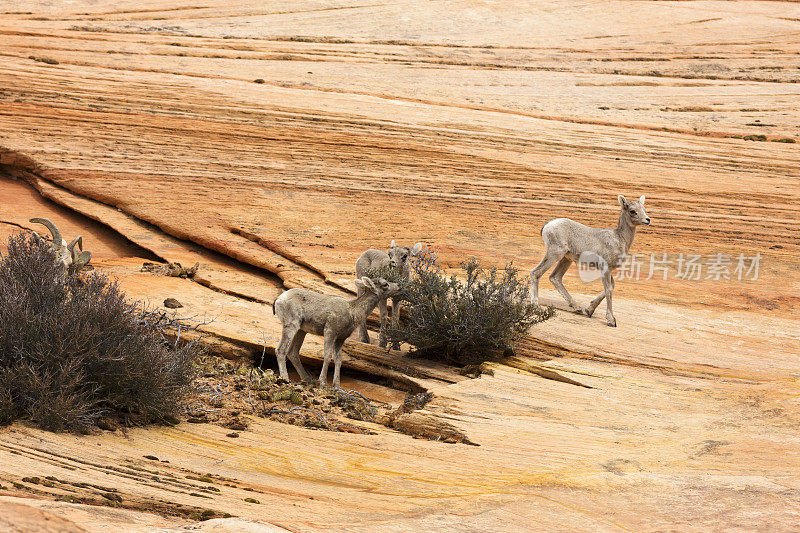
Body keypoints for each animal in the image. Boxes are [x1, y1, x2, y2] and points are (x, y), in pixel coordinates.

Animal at [532, 195, 648, 326]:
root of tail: (547, 226)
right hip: (554, 254)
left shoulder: (608, 270)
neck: (619, 239)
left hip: (566, 259)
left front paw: (589, 310)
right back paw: (535, 306)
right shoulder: (605, 268)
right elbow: (608, 289)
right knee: (536, 273)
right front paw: (611, 320)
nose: (647, 220)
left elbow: (611, 286)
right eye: (632, 211)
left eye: (644, 208)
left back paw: (578, 308)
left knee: (555, 277)